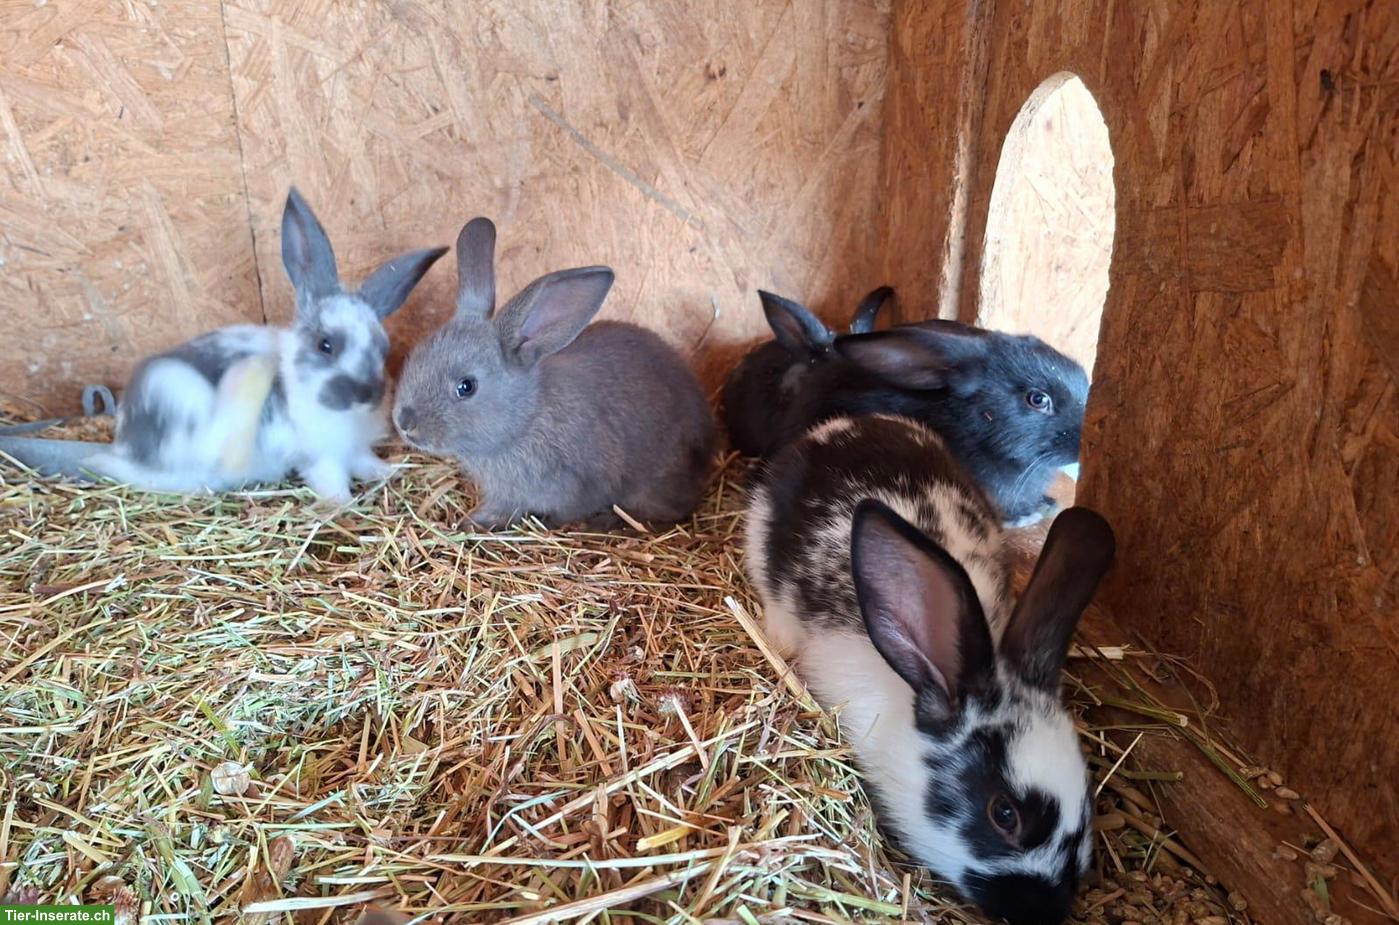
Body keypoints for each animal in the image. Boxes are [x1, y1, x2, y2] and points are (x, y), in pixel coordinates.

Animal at [0, 188, 446, 502]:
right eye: (325, 345)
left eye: (384, 349)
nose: (366, 394)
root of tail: (124, 445)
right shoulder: (318, 455)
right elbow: (331, 479)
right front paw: (342, 505)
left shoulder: (352, 447)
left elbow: (365, 462)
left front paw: (388, 474)